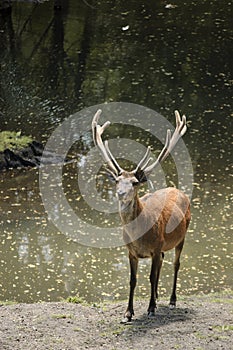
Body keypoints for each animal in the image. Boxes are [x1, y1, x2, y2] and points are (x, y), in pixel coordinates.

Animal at [91, 108, 191, 322]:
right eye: (117, 180)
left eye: (135, 182)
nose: (121, 193)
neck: (140, 237)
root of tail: (178, 190)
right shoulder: (131, 252)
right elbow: (133, 280)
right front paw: (128, 313)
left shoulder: (156, 245)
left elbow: (151, 277)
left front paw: (151, 308)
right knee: (163, 262)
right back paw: (158, 296)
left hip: (182, 235)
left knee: (176, 264)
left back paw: (171, 300)